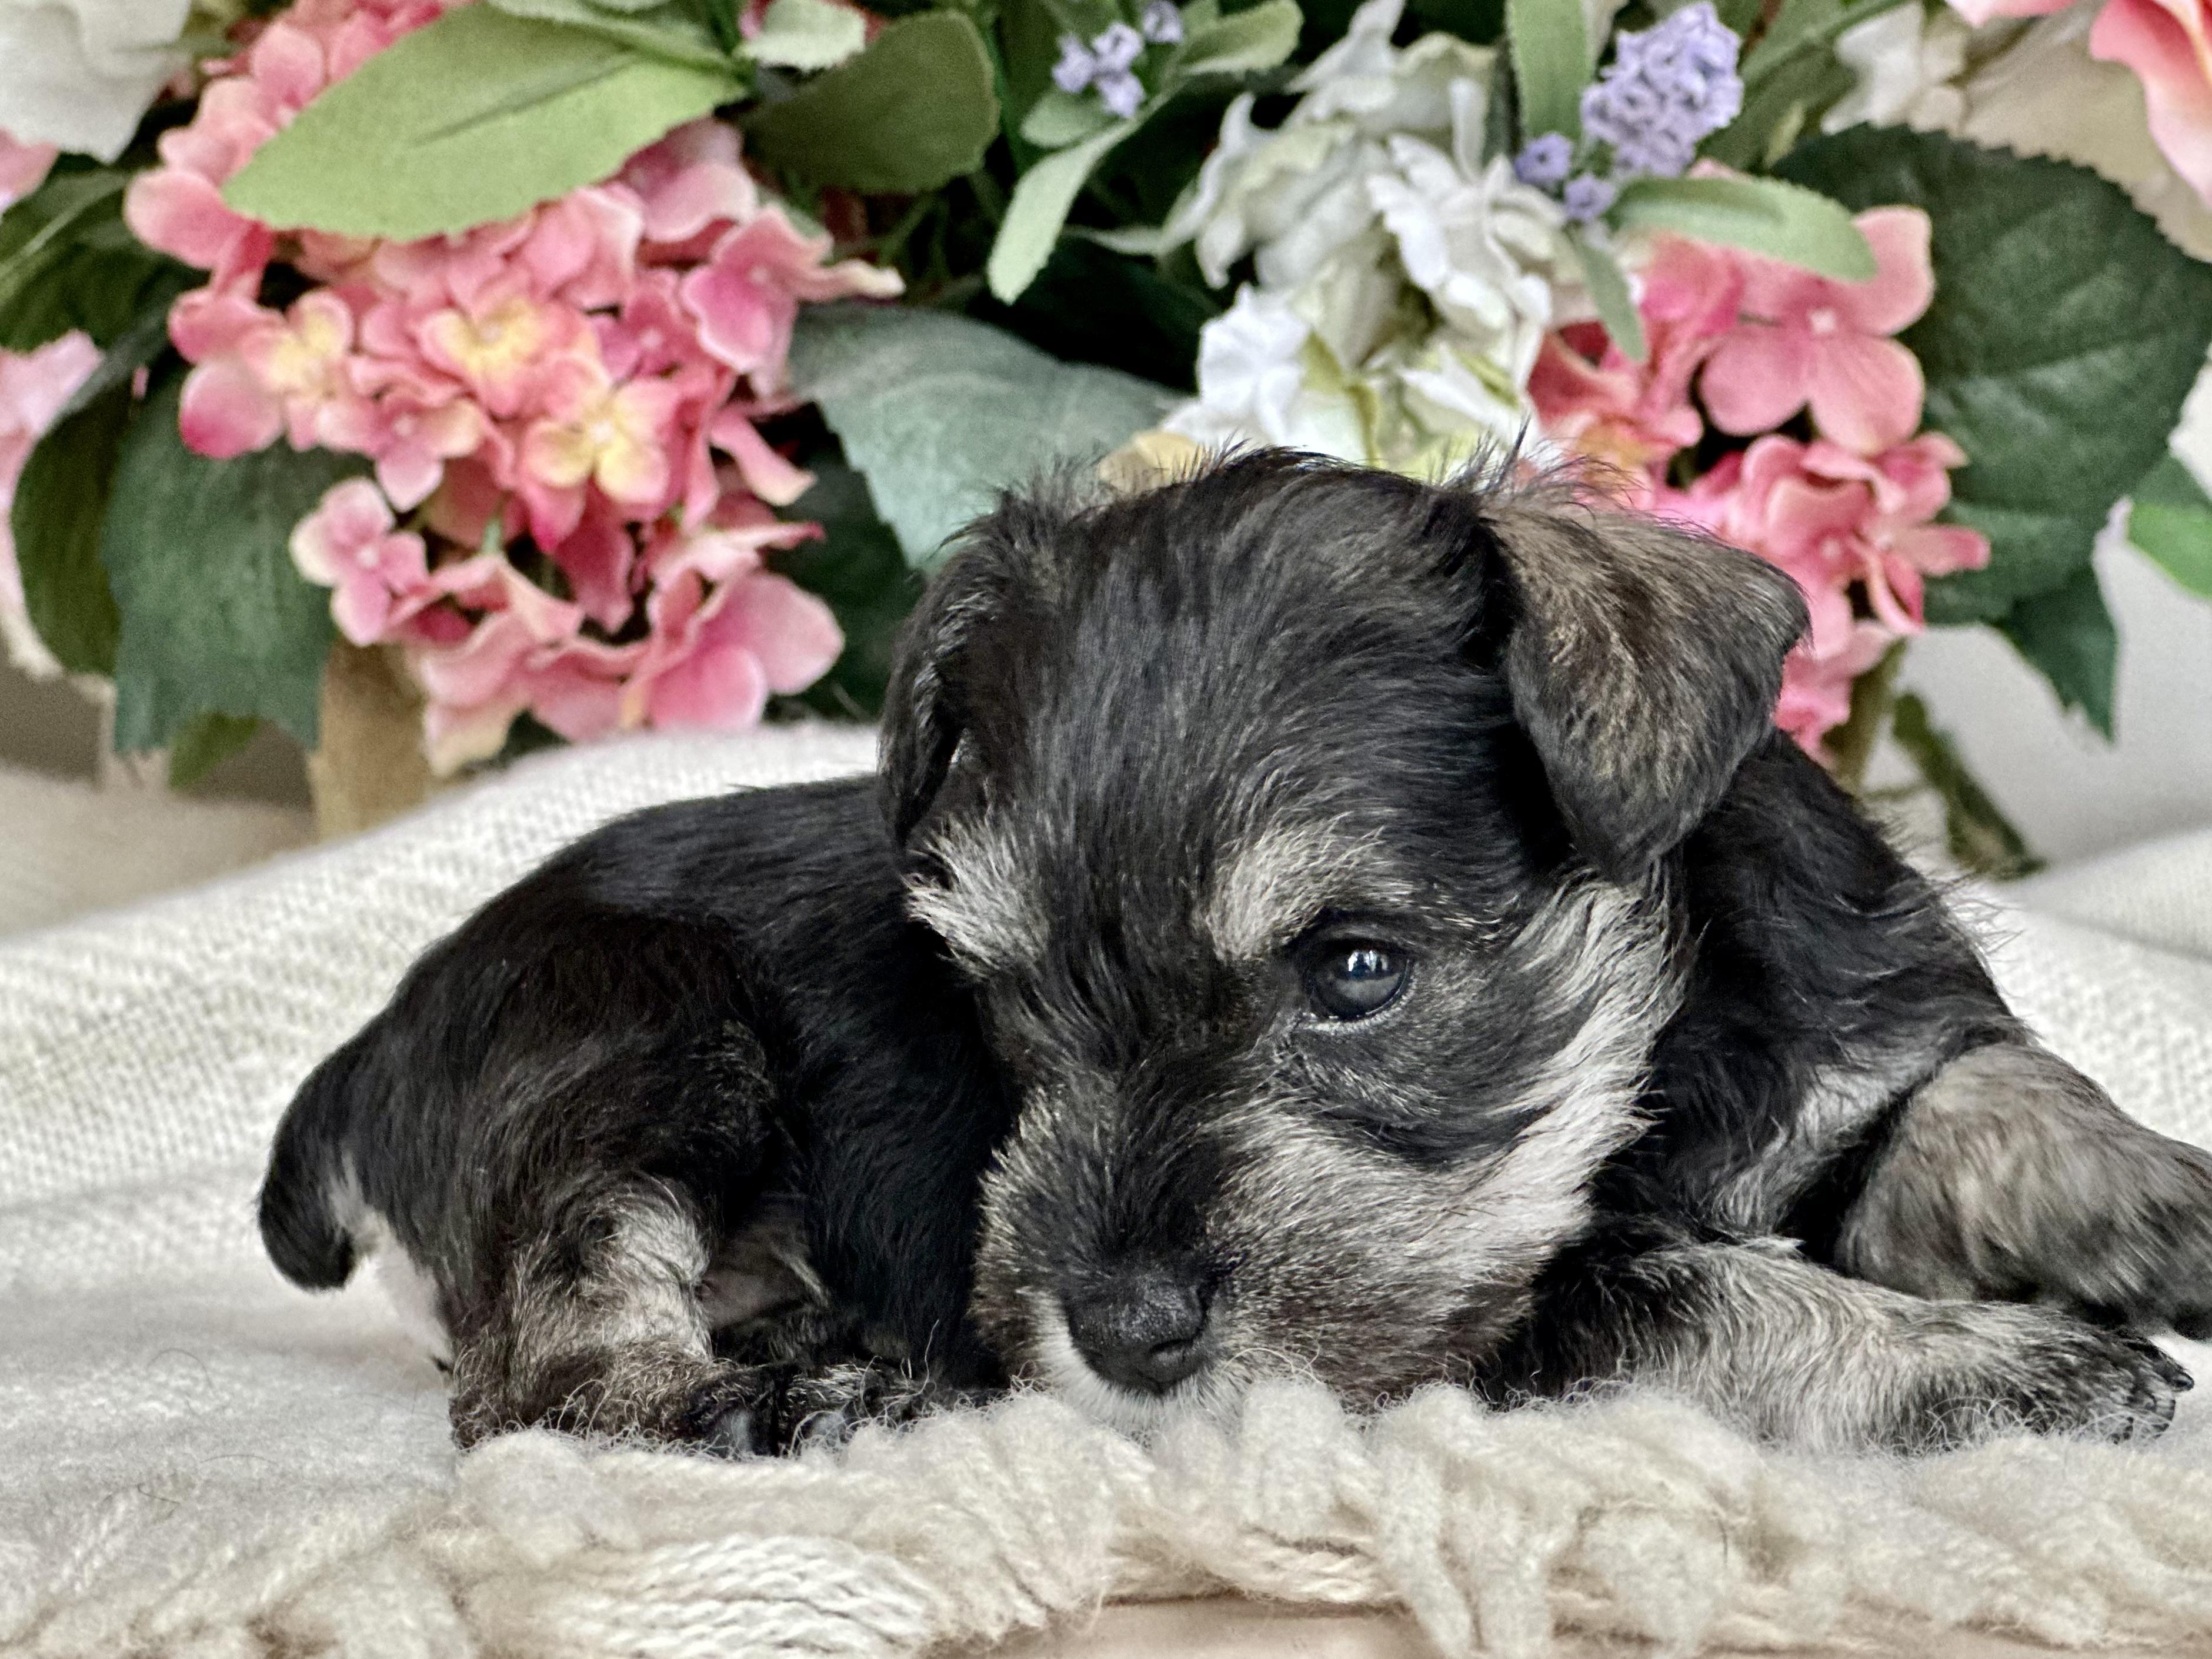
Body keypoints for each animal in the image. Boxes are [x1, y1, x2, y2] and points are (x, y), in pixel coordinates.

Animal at [261, 451, 2211, 1457]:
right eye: (1012, 993)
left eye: (1352, 968)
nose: (1113, 1330)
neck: (1663, 1042)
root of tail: (365, 1052)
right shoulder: (1503, 1310)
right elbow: (1705, 1288)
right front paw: (1996, 1366)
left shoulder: (1864, 1063)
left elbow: (2011, 1109)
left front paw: (2170, 1207)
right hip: (639, 1030)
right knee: (543, 1368)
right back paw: (771, 1392)